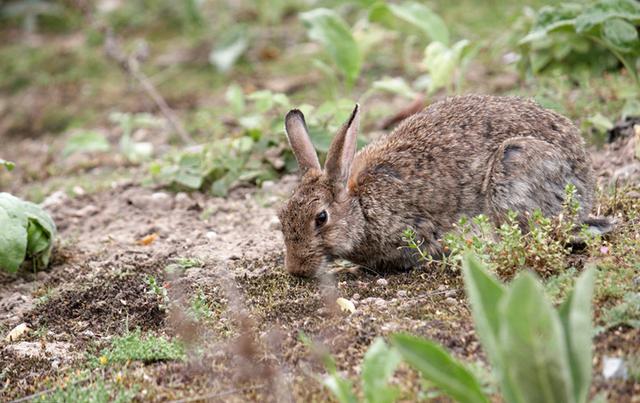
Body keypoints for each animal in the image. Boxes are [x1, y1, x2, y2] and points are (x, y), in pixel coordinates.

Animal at [276, 94, 604, 278]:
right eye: (281, 218)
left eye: (321, 218)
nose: (296, 269)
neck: (361, 205)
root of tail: (584, 186)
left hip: (515, 166)